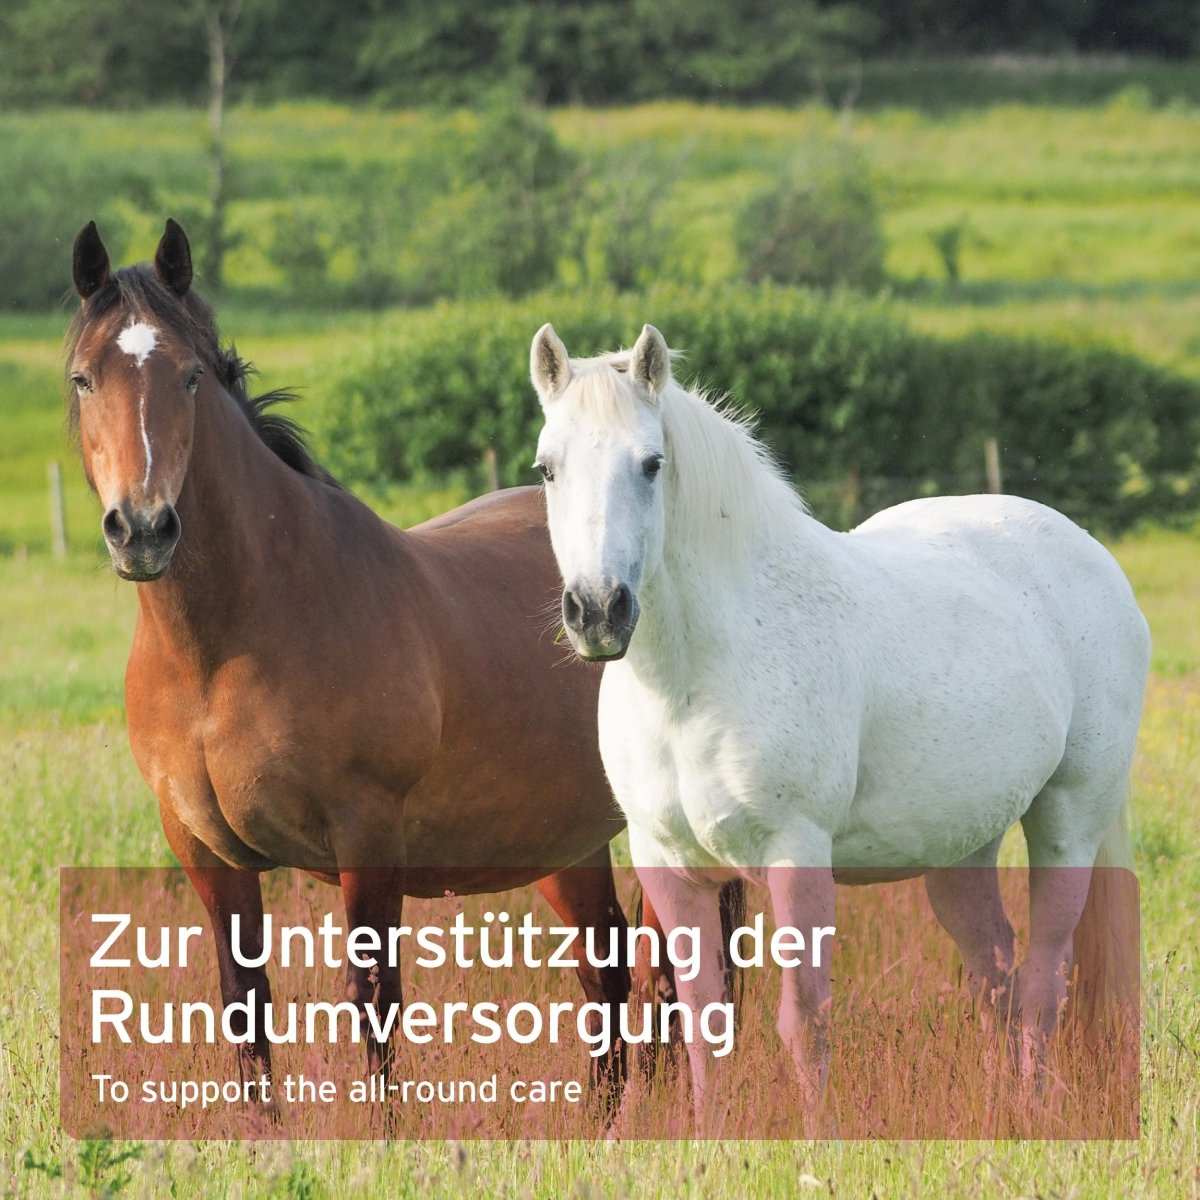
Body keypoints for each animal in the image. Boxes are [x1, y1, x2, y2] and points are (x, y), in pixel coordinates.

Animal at [65, 217, 657, 1107]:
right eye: (83, 380)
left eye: (191, 376)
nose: (142, 529)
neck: (225, 649)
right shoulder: (206, 852)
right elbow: (244, 1005)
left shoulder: (367, 835)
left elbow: (374, 1001)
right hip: (568, 840)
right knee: (607, 975)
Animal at [528, 320, 1148, 1124]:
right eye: (547, 469)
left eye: (651, 463)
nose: (599, 611)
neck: (698, 676)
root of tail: (1090, 554)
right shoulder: (669, 865)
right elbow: (701, 1021)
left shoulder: (797, 856)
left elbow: (805, 1021)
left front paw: (816, 1139)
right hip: (961, 848)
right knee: (996, 973)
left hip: (1068, 820)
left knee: (1044, 978)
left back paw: (1033, 1115)